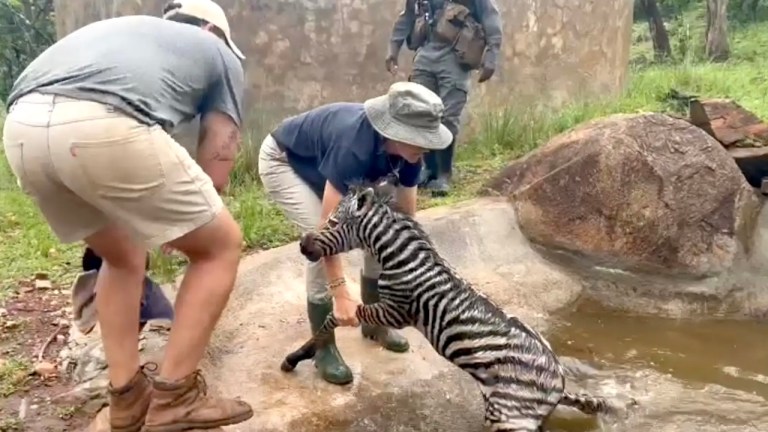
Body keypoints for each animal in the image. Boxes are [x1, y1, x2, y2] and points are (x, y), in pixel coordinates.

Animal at [281, 183, 630, 431]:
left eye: (332, 221)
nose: (302, 246)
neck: (405, 261)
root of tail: (558, 381)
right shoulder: (388, 309)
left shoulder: (396, 310)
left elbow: (331, 319)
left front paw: (296, 357)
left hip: (510, 416)